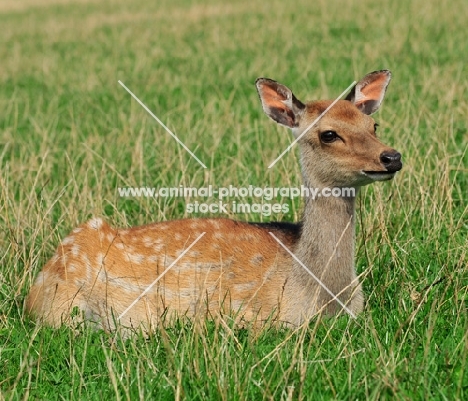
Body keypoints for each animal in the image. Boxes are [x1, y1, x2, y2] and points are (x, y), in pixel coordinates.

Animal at [24, 69, 402, 332]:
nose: (392, 157)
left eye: (374, 125)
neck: (322, 296)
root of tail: (32, 291)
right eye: (328, 134)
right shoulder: (246, 316)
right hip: (64, 308)